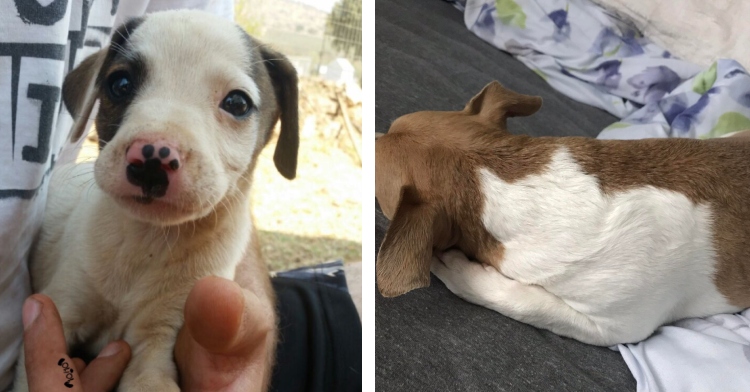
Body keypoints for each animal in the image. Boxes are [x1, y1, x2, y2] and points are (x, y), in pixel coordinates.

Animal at [12, 10, 300, 390]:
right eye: (120, 84)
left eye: (237, 103)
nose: (151, 160)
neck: (146, 241)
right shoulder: (66, 302)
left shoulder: (158, 341)